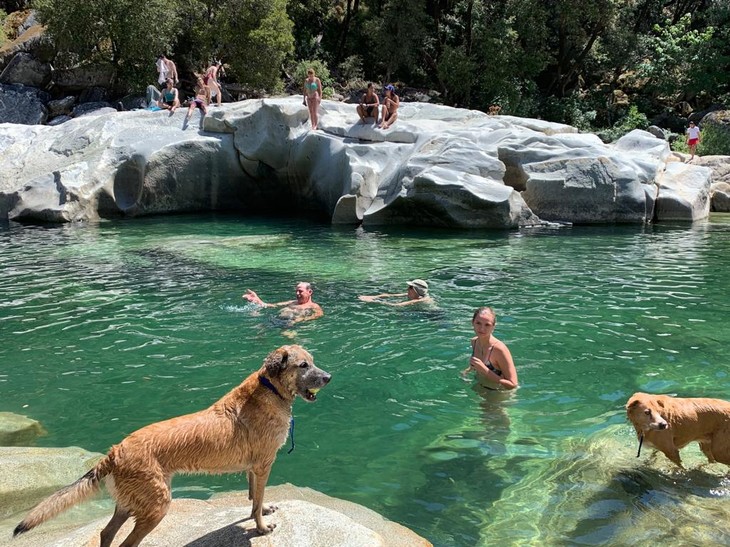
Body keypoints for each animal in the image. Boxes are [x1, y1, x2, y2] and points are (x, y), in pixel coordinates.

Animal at [13, 346, 330, 547]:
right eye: (303, 365)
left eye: (313, 361)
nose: (328, 377)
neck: (270, 389)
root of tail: (114, 452)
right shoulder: (264, 463)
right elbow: (257, 499)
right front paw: (261, 529)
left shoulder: (254, 467)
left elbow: (254, 497)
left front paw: (261, 511)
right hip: (157, 504)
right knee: (127, 543)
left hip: (131, 503)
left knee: (106, 533)